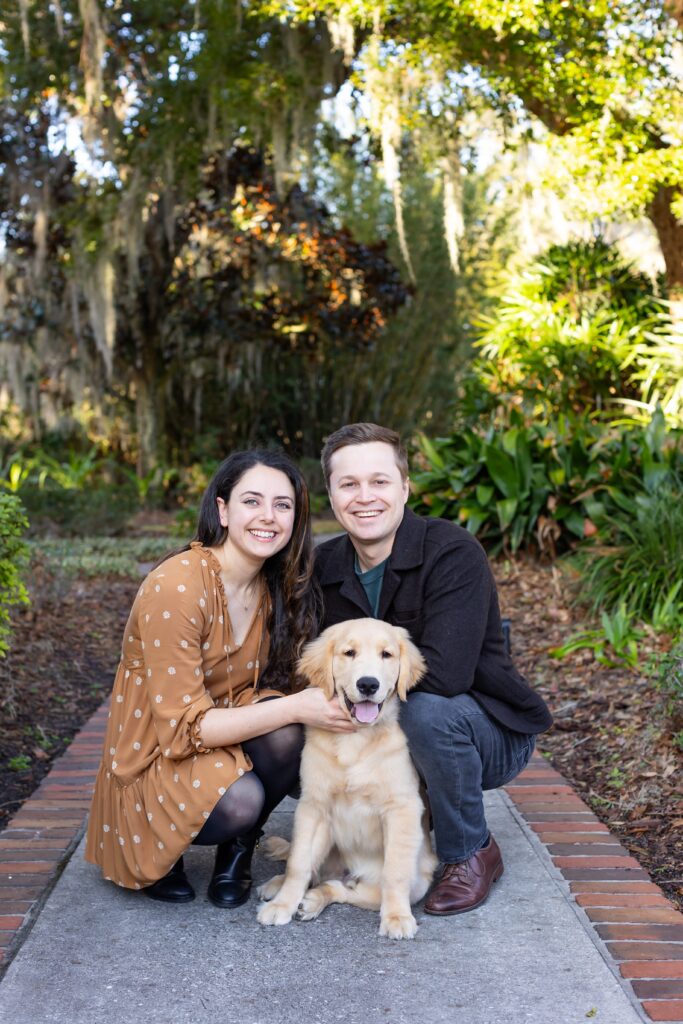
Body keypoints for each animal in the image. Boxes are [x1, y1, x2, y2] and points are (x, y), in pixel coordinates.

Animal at [255, 610, 438, 937]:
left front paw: (396, 917)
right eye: (349, 653)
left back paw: (314, 900)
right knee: (313, 871)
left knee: (340, 887)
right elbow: (298, 864)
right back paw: (279, 888)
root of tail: (349, 870)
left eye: (386, 654)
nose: (368, 685)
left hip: (408, 882)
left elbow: (395, 872)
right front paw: (282, 905)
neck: (357, 738)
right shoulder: (314, 807)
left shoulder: (402, 808)